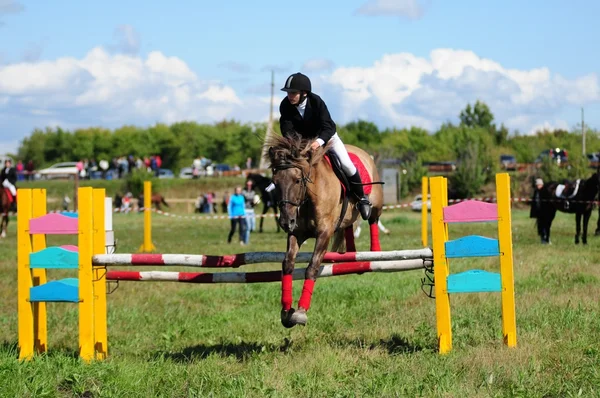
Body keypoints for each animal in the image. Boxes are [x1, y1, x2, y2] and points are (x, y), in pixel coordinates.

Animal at [264, 135, 382, 328]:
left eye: (297, 180)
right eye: (275, 182)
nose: (285, 222)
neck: (309, 197)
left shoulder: (324, 233)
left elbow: (312, 267)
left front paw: (301, 312)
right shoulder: (297, 233)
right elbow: (288, 264)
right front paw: (286, 311)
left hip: (376, 203)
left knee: (373, 218)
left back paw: (375, 251)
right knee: (348, 226)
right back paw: (351, 254)